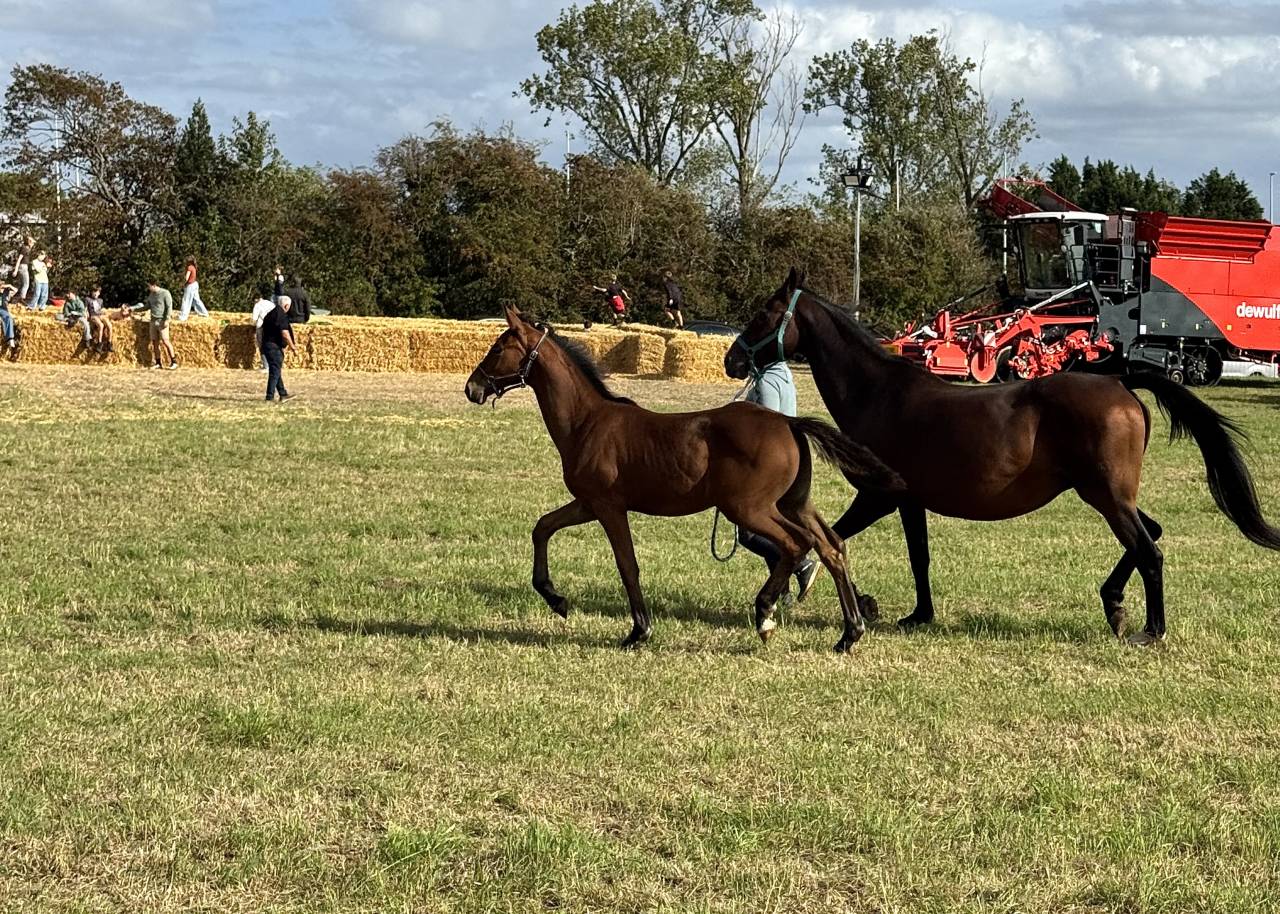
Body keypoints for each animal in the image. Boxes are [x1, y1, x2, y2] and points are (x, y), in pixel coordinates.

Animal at [464, 305, 904, 652]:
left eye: (498, 348)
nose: (473, 387)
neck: (587, 422)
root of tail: (789, 423)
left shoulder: (608, 507)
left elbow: (627, 565)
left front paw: (639, 631)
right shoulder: (587, 503)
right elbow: (542, 527)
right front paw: (556, 599)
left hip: (749, 508)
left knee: (797, 545)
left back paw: (766, 615)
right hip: (793, 503)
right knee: (830, 546)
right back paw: (849, 633)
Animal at [725, 268, 1280, 645]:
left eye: (764, 315)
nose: (731, 359)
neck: (882, 393)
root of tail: (1121, 381)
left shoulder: (879, 495)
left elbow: (834, 537)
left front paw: (826, 592)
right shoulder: (909, 500)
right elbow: (918, 556)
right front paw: (916, 614)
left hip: (1106, 497)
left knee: (1150, 550)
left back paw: (1149, 628)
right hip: (1110, 494)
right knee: (1152, 535)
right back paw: (1114, 603)